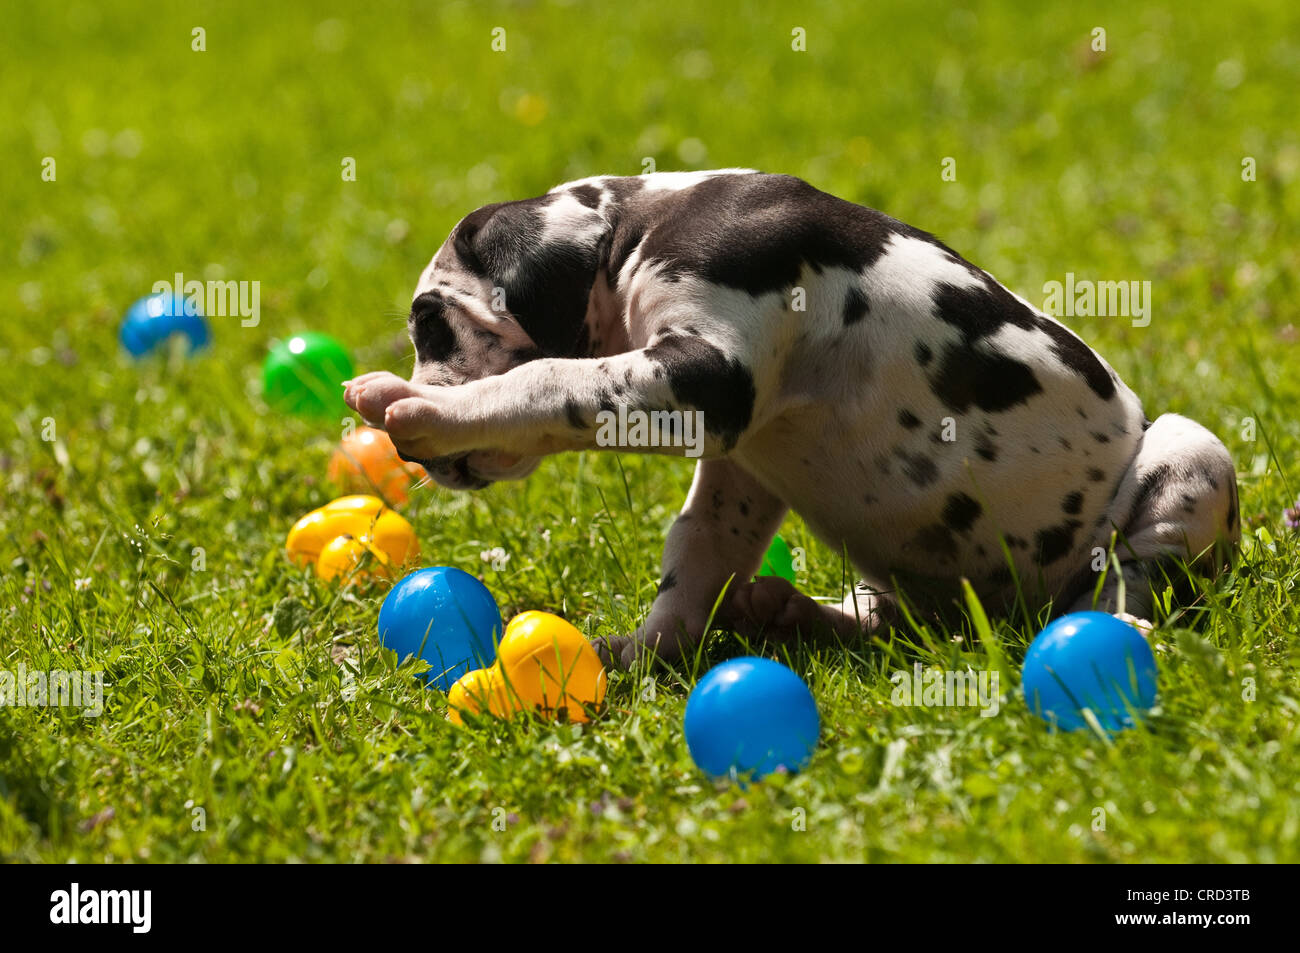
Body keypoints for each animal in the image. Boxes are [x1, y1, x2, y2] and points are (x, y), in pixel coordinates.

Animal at [345, 171, 1237, 665]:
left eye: (430, 324)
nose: (422, 466)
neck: (642, 231)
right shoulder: (740, 461)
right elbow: (698, 554)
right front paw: (642, 654)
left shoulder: (705, 372)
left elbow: (551, 380)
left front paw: (429, 408)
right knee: (893, 622)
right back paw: (793, 611)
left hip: (1188, 455)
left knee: (1133, 579)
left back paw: (1122, 628)